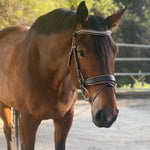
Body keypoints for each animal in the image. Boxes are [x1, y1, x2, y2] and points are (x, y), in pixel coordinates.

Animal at [0, 1, 124, 150]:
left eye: (115, 51)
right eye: (81, 52)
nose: (108, 114)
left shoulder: (65, 119)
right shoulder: (28, 121)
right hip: (3, 103)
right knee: (9, 130)